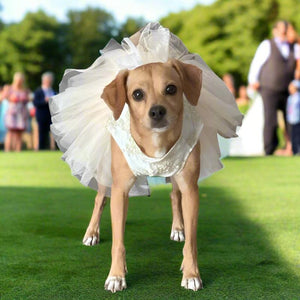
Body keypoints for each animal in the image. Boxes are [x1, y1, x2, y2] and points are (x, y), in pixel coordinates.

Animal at [83, 58, 203, 292]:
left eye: (171, 89)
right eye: (137, 94)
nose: (157, 111)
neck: (155, 140)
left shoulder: (191, 189)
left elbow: (192, 243)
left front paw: (191, 273)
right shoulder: (120, 190)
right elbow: (118, 243)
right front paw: (116, 275)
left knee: (174, 196)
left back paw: (178, 228)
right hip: (106, 176)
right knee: (99, 199)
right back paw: (92, 233)